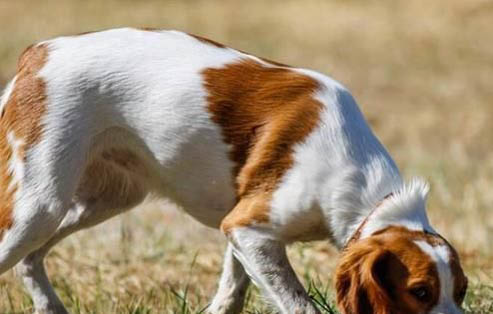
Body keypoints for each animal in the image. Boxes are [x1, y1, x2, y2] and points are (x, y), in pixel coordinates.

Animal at [0, 28, 468, 312]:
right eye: (420, 292)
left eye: (461, 291)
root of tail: (38, 53)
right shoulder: (251, 228)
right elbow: (299, 303)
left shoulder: (241, 226)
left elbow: (232, 289)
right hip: (38, 204)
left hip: (104, 199)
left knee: (30, 260)